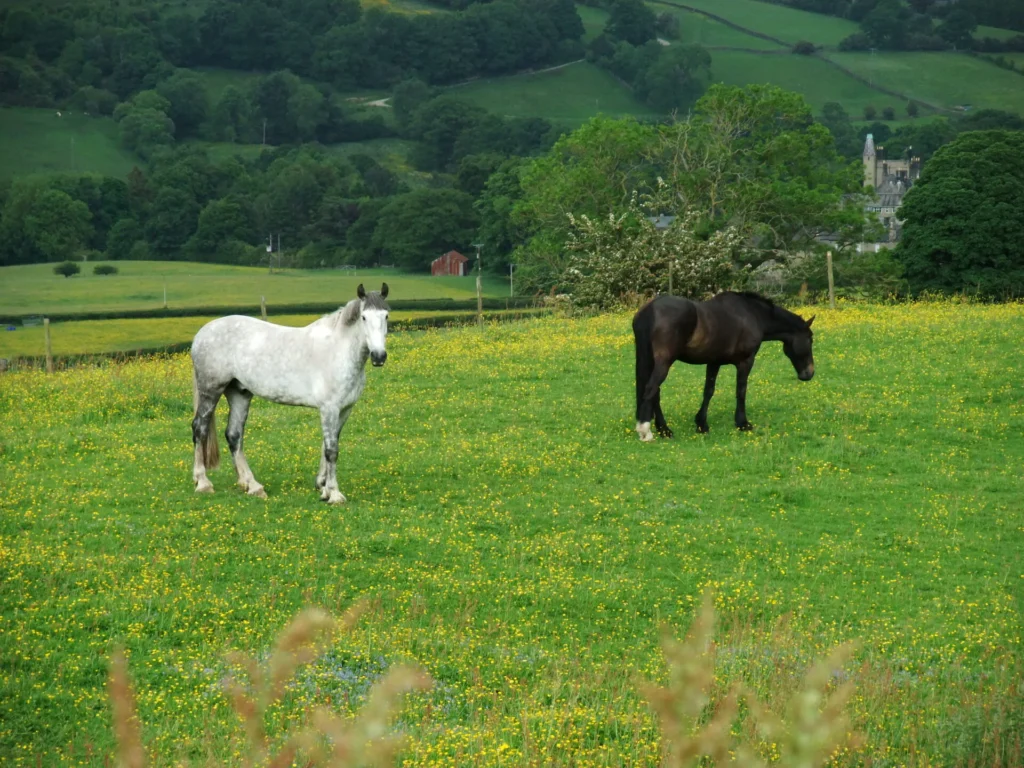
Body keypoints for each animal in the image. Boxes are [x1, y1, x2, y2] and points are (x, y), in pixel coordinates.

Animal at [190, 283, 390, 503]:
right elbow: (331, 450)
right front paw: (334, 494)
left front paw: (323, 488)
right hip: (210, 391)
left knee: (234, 435)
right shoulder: (329, 408)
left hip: (239, 393)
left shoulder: (344, 409)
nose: (379, 357)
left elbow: (328, 445)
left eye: (386, 316)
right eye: (364, 317)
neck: (337, 350)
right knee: (199, 428)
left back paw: (252, 485)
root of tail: (202, 333)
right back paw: (203, 482)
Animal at [632, 291, 815, 441]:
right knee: (651, 389)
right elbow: (741, 391)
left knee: (655, 393)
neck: (752, 314)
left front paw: (702, 424)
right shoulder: (746, 361)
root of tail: (651, 309)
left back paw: (663, 430)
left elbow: (708, 391)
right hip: (664, 362)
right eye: (810, 339)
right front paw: (743, 423)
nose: (809, 373)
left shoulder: (714, 362)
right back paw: (647, 431)